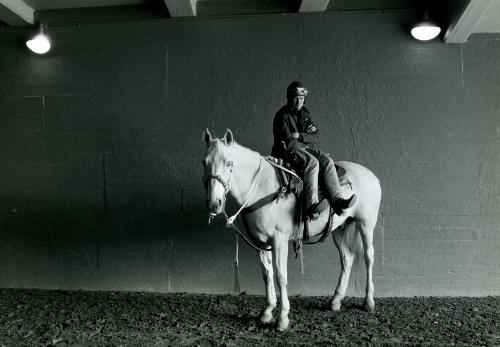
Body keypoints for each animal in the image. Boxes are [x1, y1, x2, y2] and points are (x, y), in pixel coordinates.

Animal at [201, 128, 380, 332]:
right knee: (347, 258)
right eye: (204, 162)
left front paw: (282, 318)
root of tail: (371, 176)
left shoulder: (279, 240)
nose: (214, 203)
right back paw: (336, 300)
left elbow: (280, 276)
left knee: (368, 256)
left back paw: (368, 301)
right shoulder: (260, 242)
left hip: (366, 224)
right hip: (339, 228)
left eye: (228, 163)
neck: (262, 187)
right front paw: (267, 312)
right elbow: (267, 275)